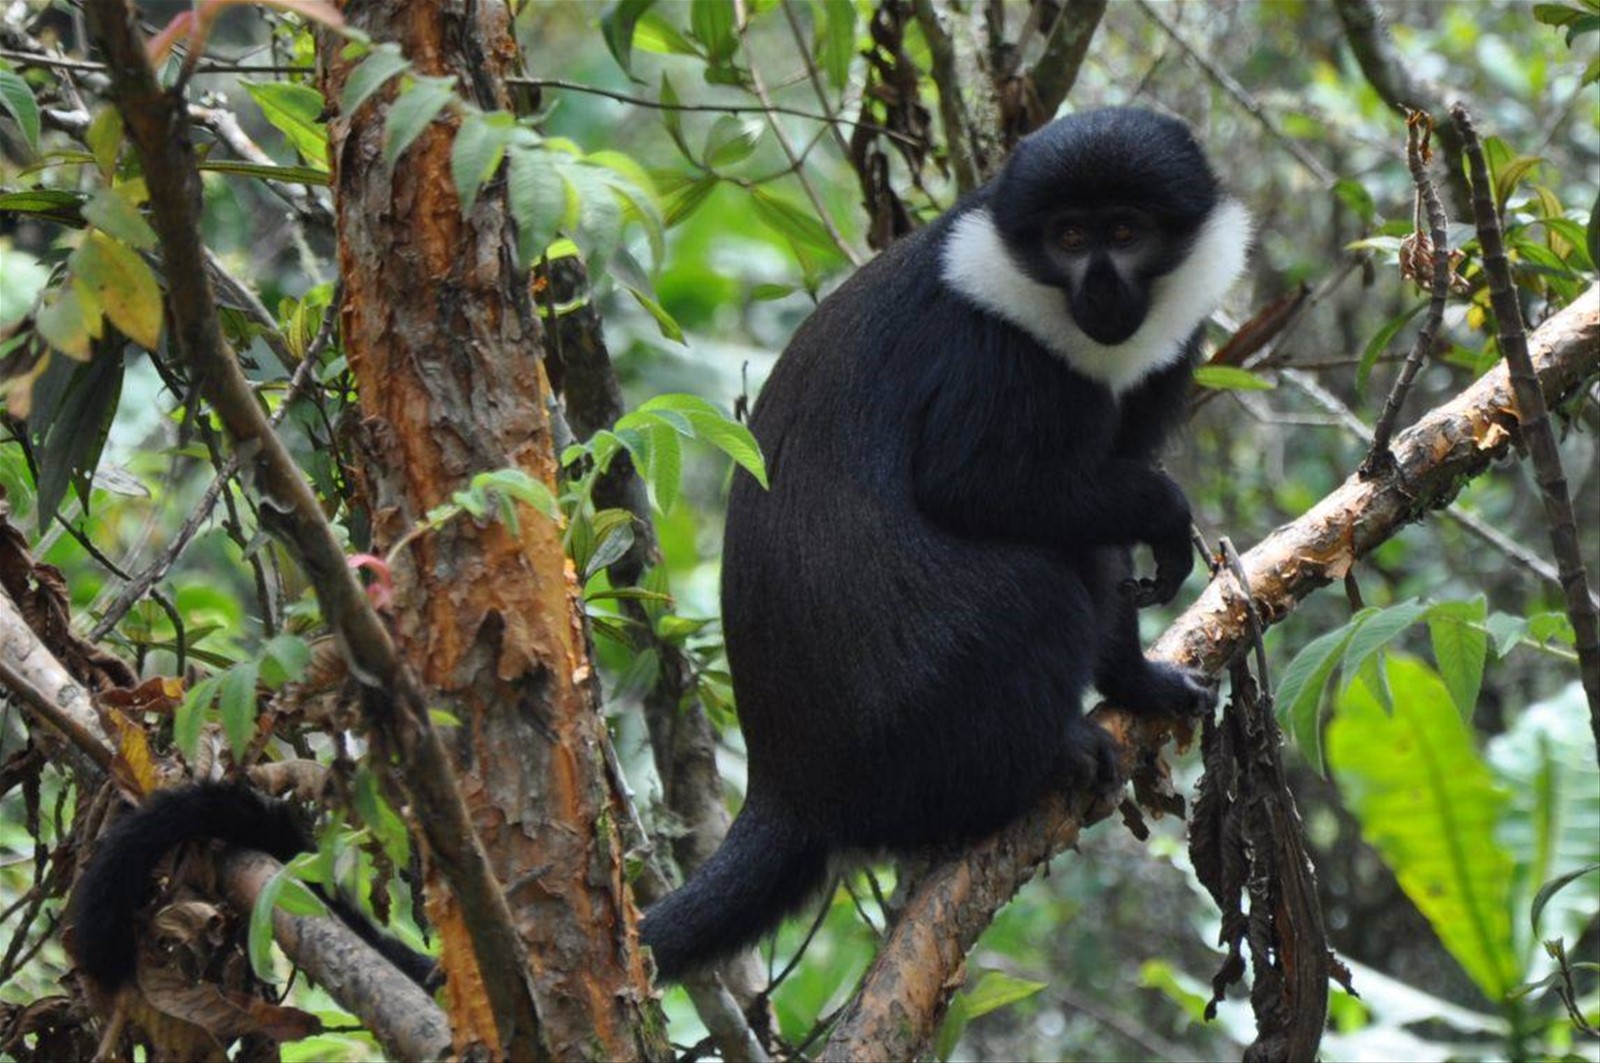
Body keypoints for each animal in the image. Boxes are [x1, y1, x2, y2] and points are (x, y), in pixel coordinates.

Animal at [638, 107, 1252, 980]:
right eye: (1069, 237)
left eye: (1126, 231)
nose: (1100, 288)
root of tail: (789, 782)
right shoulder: (991, 354)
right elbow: (973, 487)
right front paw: (1163, 514)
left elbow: (1100, 533)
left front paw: (1139, 682)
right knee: (1039, 588)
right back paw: (1044, 758)